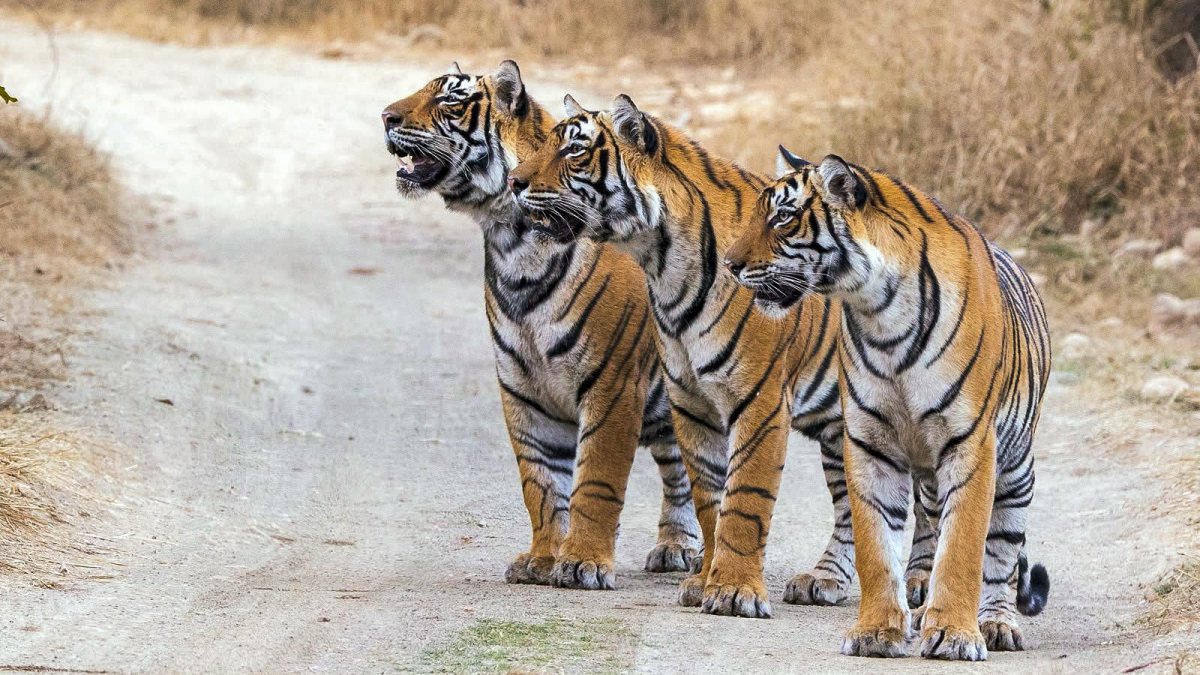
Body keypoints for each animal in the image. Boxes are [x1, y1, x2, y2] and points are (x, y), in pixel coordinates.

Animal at [380, 61, 702, 590]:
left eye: (449, 101)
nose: (385, 117)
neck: (512, 241)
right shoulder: (522, 387)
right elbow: (542, 485)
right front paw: (543, 560)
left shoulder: (612, 383)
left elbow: (595, 480)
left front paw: (583, 563)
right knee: (681, 470)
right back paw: (678, 547)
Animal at [508, 94, 937, 618]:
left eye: (574, 151)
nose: (514, 182)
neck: (663, 266)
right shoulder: (692, 402)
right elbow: (710, 499)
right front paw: (705, 581)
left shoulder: (760, 401)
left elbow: (745, 498)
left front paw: (734, 591)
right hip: (844, 430)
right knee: (851, 508)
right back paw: (823, 580)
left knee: (928, 504)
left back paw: (919, 583)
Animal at [724, 148, 1052, 660]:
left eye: (783, 217)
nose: (729, 264)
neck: (879, 312)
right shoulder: (870, 442)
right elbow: (875, 546)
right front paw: (878, 631)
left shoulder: (971, 444)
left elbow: (963, 549)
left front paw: (955, 634)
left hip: (1016, 470)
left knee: (999, 554)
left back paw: (995, 623)